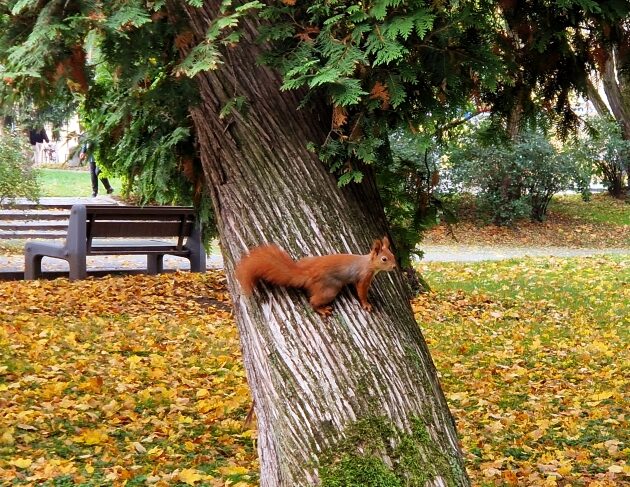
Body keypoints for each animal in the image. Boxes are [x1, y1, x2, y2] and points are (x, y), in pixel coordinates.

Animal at [235, 237, 398, 316]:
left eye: (393, 255)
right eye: (384, 259)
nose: (395, 266)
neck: (369, 263)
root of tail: (309, 272)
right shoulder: (364, 277)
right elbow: (361, 292)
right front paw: (367, 304)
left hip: (309, 261)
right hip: (330, 289)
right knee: (313, 301)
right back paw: (322, 310)